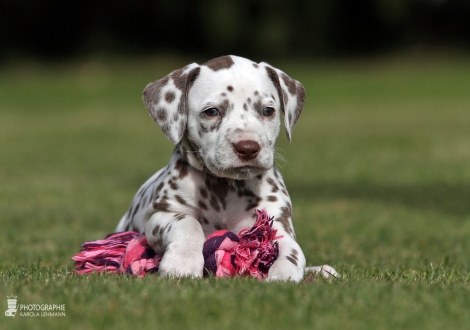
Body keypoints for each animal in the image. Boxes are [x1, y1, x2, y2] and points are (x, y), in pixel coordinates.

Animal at [117, 54, 338, 282]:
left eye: (268, 110)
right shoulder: (160, 214)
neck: (224, 189)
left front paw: (282, 274)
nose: (248, 148)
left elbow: (291, 251)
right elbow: (187, 223)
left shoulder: (277, 224)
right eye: (212, 111)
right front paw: (181, 263)